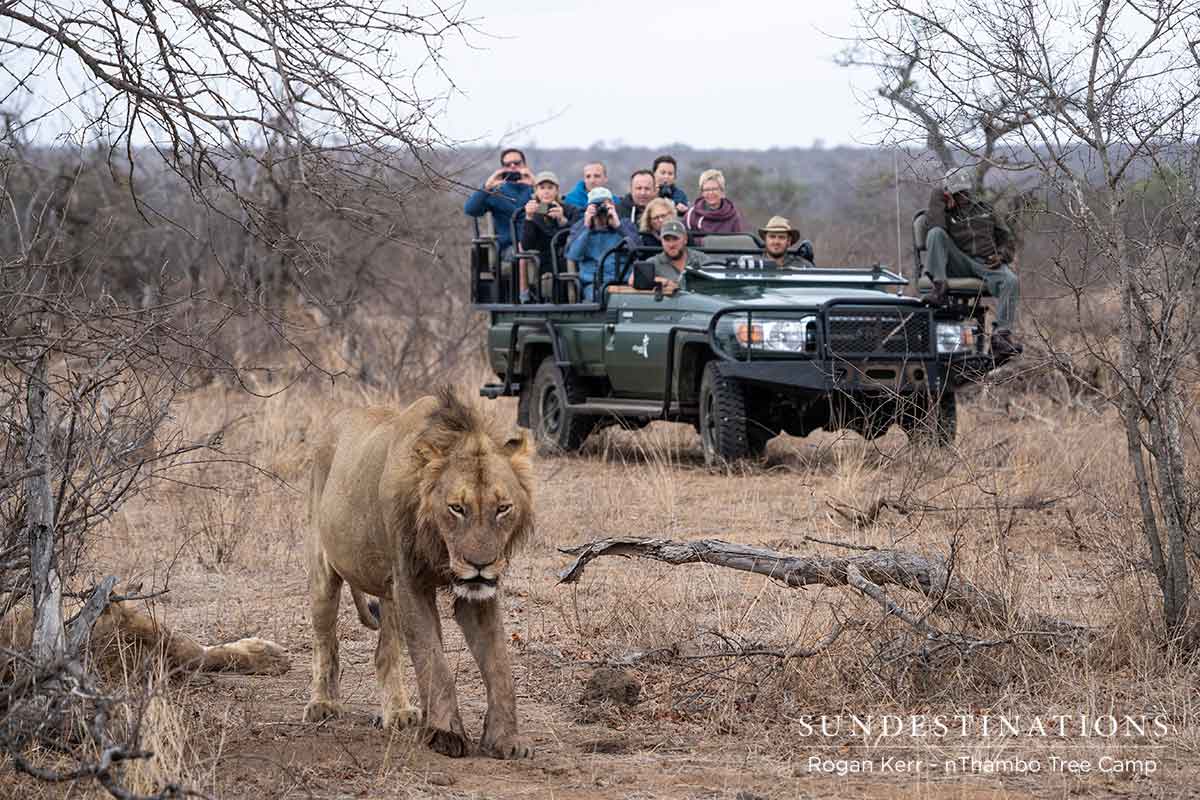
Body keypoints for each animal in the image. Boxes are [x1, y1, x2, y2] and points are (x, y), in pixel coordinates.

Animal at [305, 387, 534, 760]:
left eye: (503, 508)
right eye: (457, 508)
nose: (481, 564)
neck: (440, 548)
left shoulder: (476, 596)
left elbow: (499, 663)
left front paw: (506, 740)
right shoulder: (411, 583)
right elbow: (433, 660)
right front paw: (445, 733)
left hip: (389, 593)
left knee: (385, 653)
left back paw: (398, 712)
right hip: (324, 570)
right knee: (326, 643)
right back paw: (323, 704)